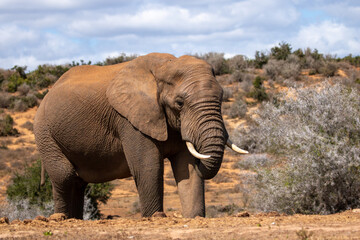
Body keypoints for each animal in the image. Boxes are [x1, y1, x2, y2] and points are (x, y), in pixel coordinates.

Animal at [33, 53, 248, 219]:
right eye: (179, 103)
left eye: (222, 97)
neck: (166, 65)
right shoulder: (129, 120)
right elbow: (148, 167)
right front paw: (155, 217)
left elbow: (187, 167)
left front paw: (194, 217)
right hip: (44, 132)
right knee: (64, 176)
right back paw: (60, 218)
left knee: (77, 183)